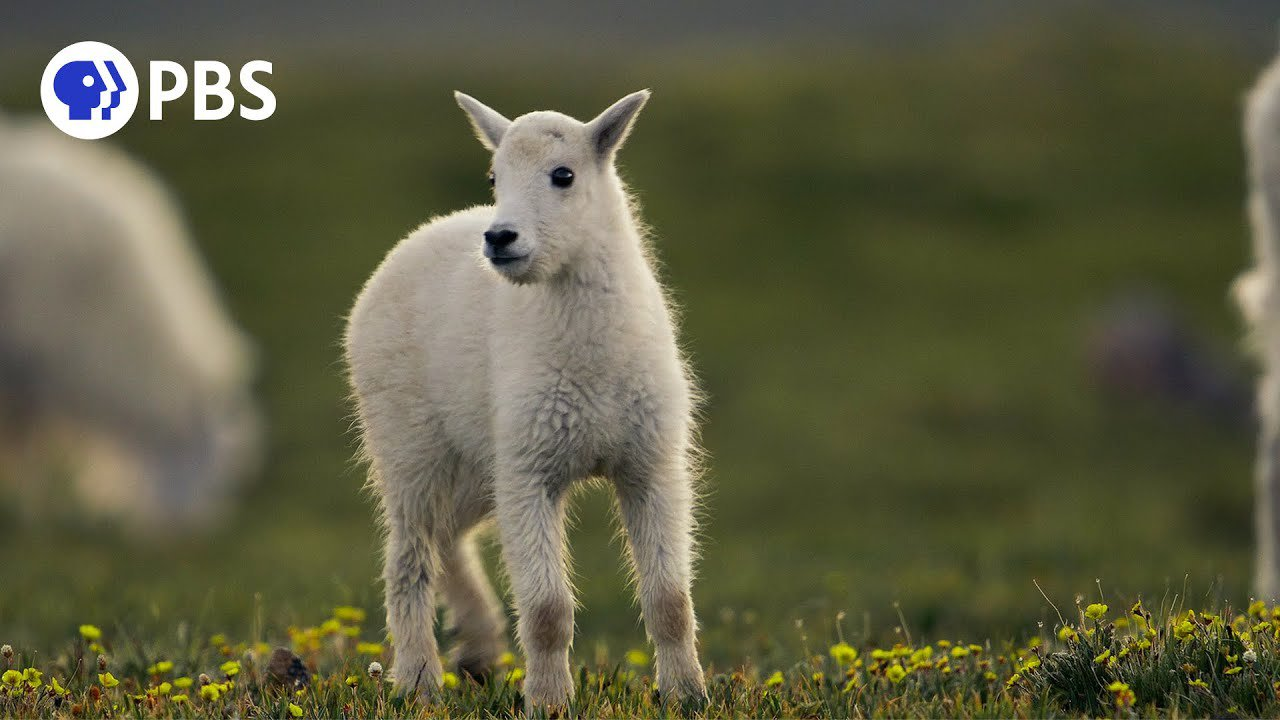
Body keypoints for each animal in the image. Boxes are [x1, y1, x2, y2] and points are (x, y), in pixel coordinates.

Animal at [348, 90, 711, 707]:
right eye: (493, 176)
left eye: (563, 175)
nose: (500, 239)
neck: (590, 354)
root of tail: (413, 241)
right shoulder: (530, 470)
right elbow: (546, 610)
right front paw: (549, 700)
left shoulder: (649, 464)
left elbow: (670, 601)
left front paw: (686, 694)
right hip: (411, 447)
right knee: (410, 556)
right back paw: (419, 682)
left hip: (476, 465)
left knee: (449, 538)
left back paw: (478, 652)